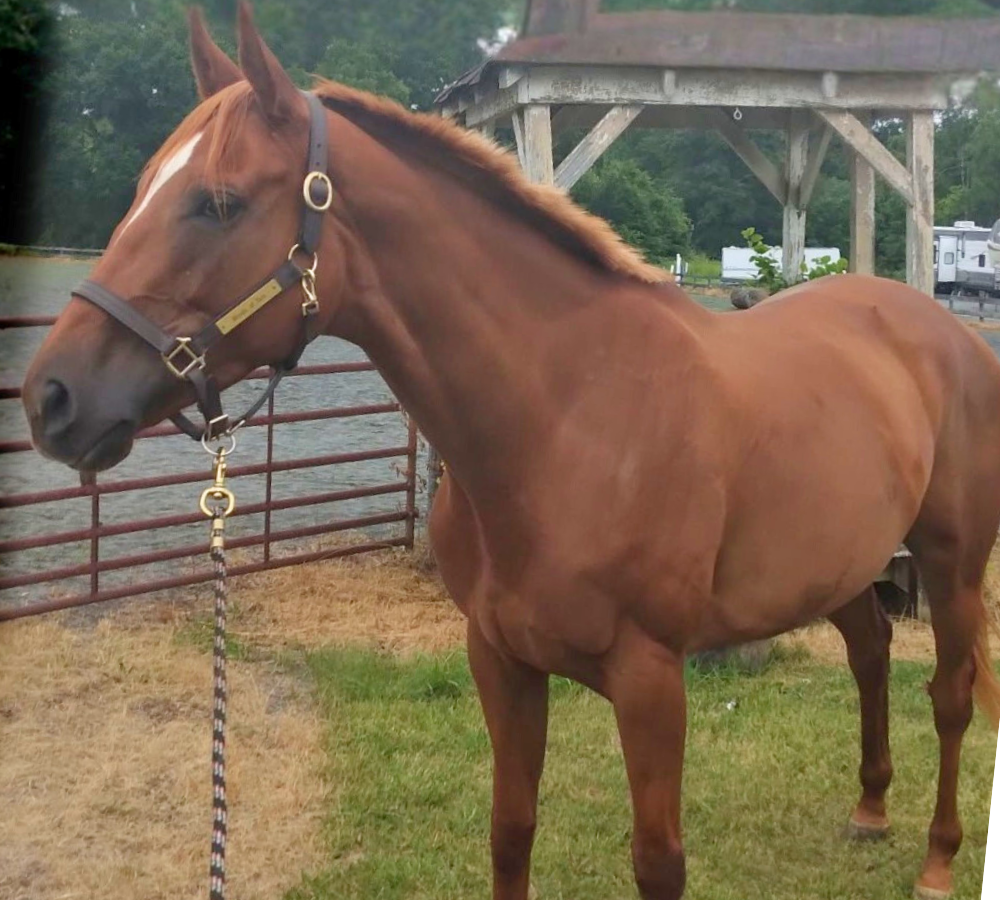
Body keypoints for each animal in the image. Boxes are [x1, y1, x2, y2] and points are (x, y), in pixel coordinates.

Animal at [21, 6, 1000, 899]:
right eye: (144, 187)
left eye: (218, 202)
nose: (50, 398)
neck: (565, 419)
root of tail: (943, 328)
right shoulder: (498, 659)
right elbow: (511, 831)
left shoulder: (652, 680)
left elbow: (658, 862)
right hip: (844, 563)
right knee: (870, 649)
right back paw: (870, 808)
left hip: (948, 563)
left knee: (949, 696)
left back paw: (937, 860)